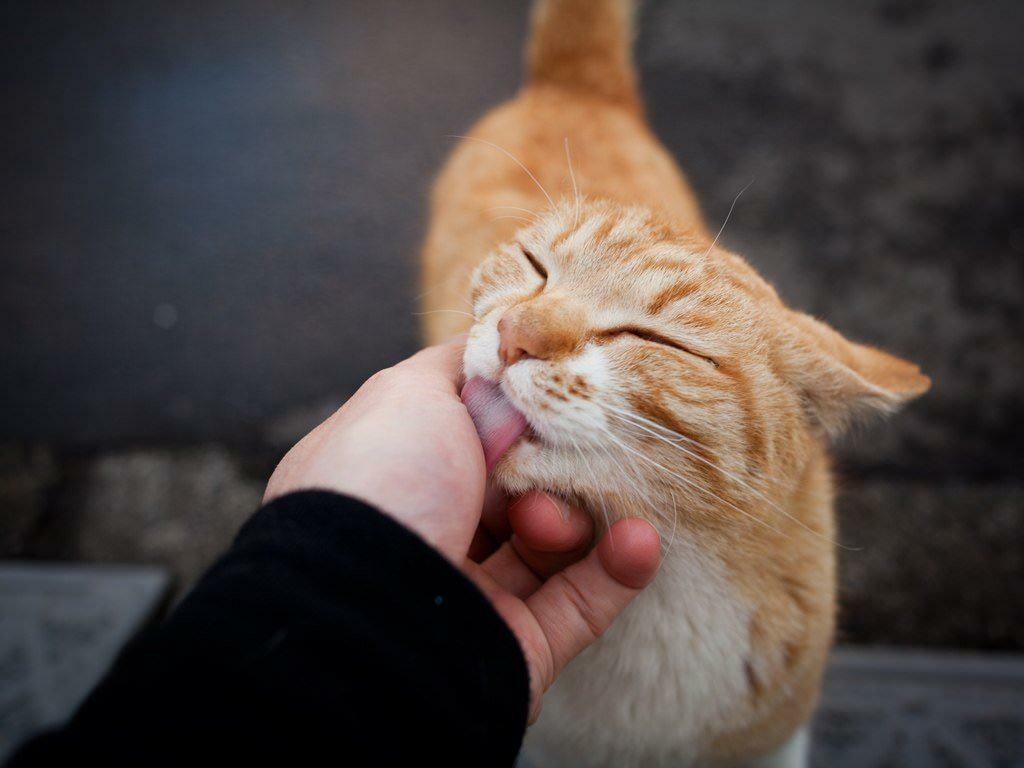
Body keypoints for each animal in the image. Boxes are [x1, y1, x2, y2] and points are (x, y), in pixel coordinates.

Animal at [417, 1, 929, 768]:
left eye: (652, 340)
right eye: (536, 266)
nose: (516, 335)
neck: (667, 591)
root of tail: (575, 86)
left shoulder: (775, 743)